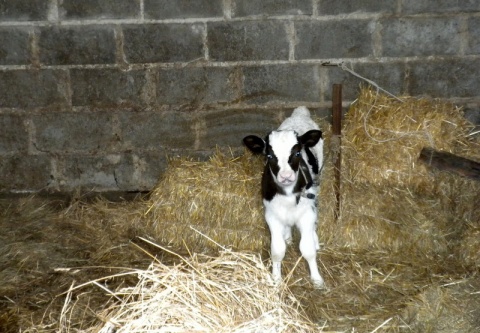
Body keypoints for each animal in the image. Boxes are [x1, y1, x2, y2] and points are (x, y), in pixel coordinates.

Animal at [244, 106, 326, 288]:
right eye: (269, 156)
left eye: (297, 153)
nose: (286, 176)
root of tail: (300, 113)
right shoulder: (272, 215)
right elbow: (277, 250)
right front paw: (276, 279)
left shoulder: (306, 214)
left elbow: (307, 249)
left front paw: (317, 279)